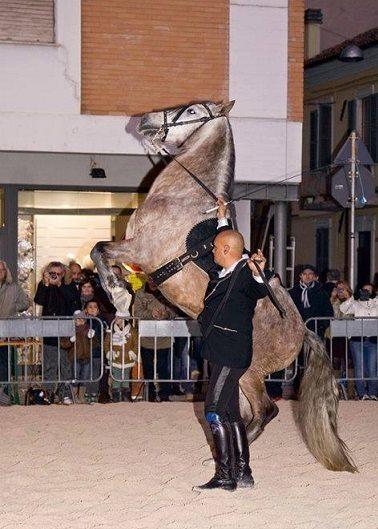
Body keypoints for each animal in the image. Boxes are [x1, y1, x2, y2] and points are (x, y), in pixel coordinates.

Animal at [90, 101, 356, 472]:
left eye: (191, 110)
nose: (145, 121)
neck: (181, 200)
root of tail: (303, 330)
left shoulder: (140, 251)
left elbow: (99, 250)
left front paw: (117, 296)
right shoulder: (139, 259)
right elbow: (103, 255)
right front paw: (121, 296)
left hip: (249, 373)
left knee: (266, 410)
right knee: (242, 413)